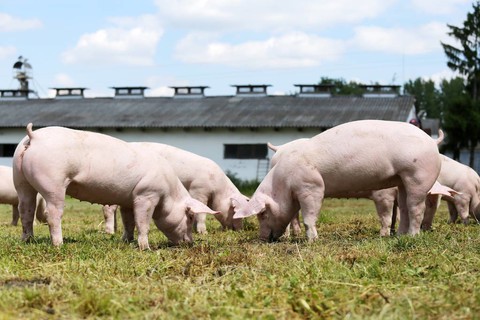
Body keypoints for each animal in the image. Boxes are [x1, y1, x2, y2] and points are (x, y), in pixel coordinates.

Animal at [12, 124, 219, 249]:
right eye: (189, 216)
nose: (190, 243)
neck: (168, 193)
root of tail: (34, 136)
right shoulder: (146, 195)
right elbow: (143, 222)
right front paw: (145, 248)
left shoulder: (128, 199)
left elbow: (129, 221)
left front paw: (126, 241)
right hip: (53, 181)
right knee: (52, 213)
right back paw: (59, 244)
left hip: (20, 179)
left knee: (26, 209)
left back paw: (27, 240)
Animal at [232, 121, 442, 241]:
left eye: (262, 214)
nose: (262, 239)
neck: (283, 183)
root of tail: (432, 142)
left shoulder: (311, 187)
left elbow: (309, 216)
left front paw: (312, 241)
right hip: (402, 179)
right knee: (405, 207)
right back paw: (399, 236)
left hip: (418, 176)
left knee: (416, 208)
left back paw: (413, 237)